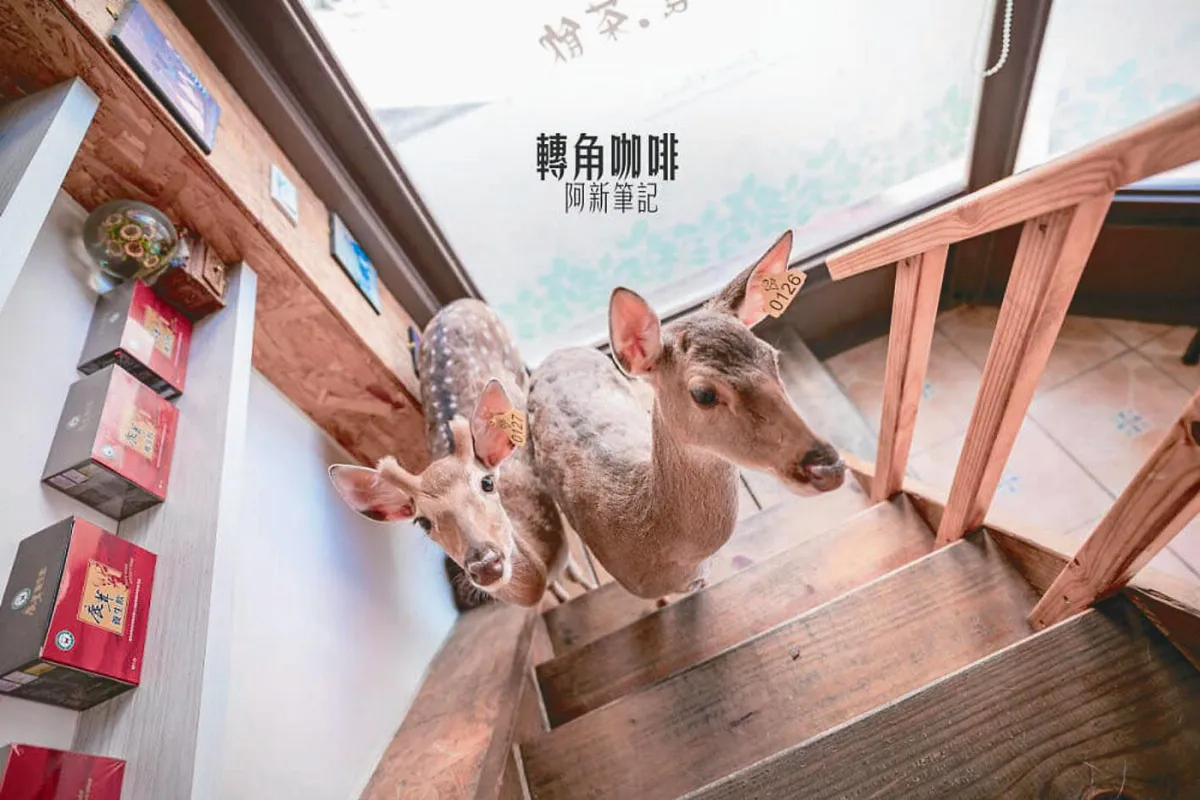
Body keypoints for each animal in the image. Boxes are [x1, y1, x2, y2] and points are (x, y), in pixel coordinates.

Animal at [328, 299, 595, 607]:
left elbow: (575, 570)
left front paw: (588, 583)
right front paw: (563, 597)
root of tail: (456, 305)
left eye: (487, 483)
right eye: (422, 522)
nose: (486, 564)